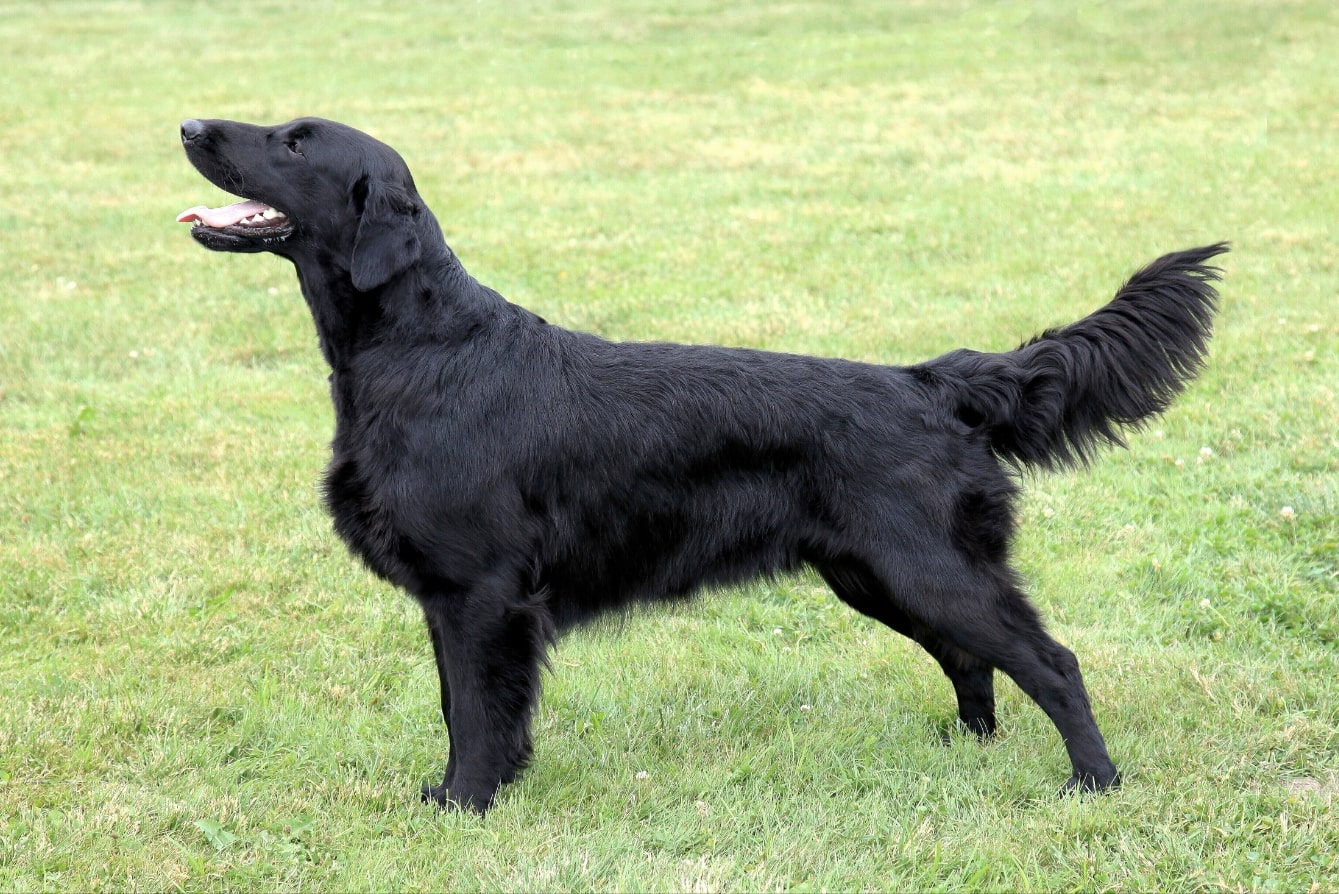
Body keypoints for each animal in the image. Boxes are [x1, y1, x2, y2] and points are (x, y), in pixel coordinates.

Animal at [178, 115, 1226, 813]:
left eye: (295, 144)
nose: (190, 124)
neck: (423, 346)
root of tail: (928, 381)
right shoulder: (451, 599)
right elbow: (461, 705)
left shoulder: (478, 593)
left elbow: (475, 712)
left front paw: (464, 803)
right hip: (874, 575)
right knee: (972, 662)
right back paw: (968, 748)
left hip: (929, 569)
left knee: (1050, 661)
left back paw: (1094, 783)